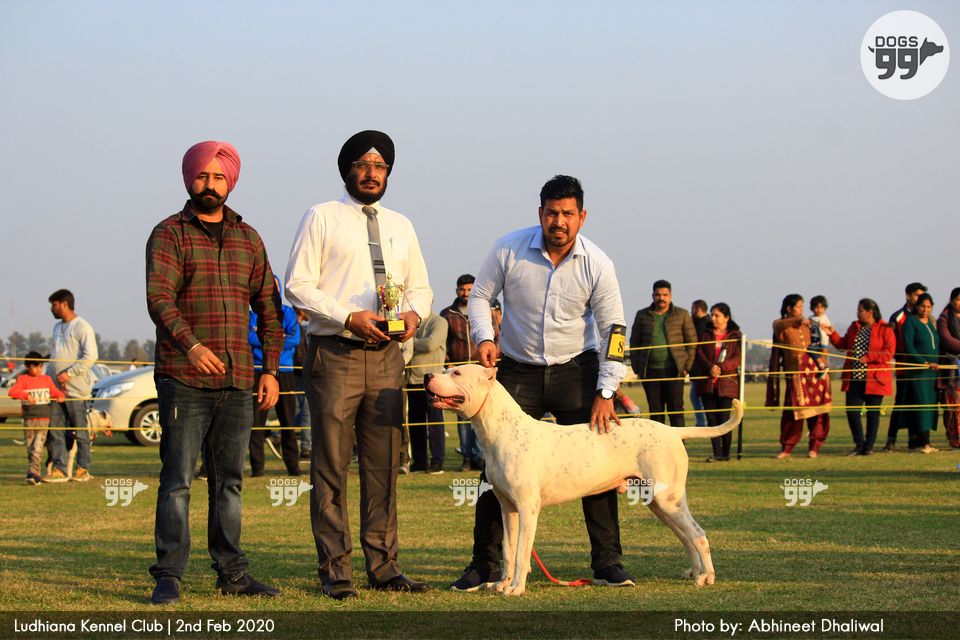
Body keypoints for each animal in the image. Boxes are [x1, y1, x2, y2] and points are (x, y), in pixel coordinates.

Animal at [425, 364, 743, 596]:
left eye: (456, 373)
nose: (427, 375)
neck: (501, 430)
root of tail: (673, 431)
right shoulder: (508, 509)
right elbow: (509, 550)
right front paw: (502, 583)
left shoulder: (528, 509)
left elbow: (522, 553)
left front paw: (515, 588)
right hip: (660, 503)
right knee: (686, 536)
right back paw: (695, 572)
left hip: (667, 499)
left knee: (698, 534)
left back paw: (707, 576)